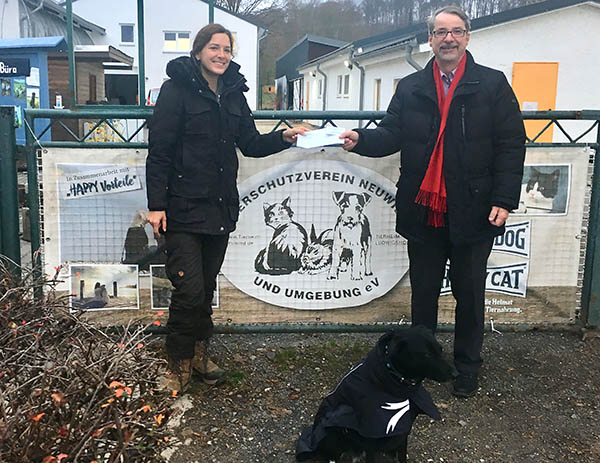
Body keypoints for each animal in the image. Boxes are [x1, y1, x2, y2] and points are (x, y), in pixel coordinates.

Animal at [292, 326, 452, 463]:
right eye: (426, 354)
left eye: (440, 349)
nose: (455, 373)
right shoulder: (370, 436)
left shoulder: (404, 431)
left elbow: (402, 455)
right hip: (333, 429)